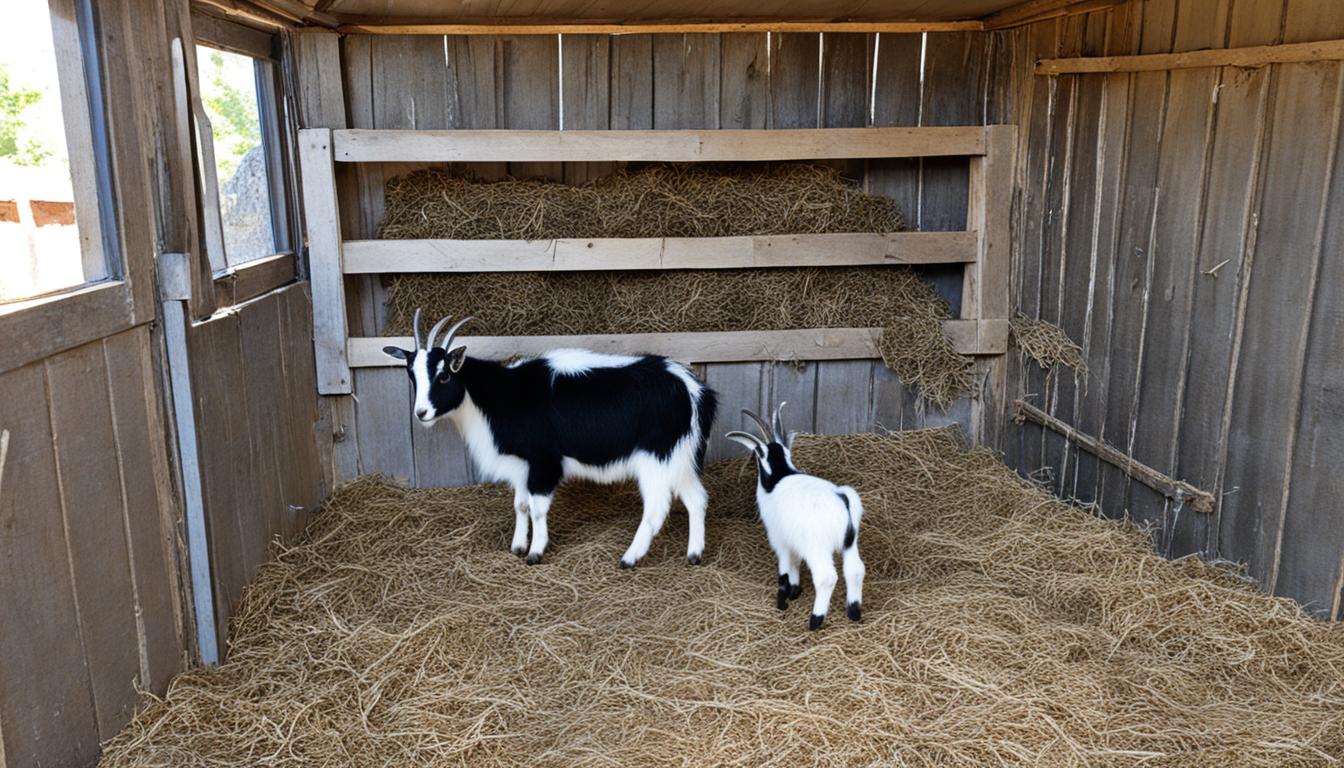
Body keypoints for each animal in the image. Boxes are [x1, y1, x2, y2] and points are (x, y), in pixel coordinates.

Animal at [384, 309, 720, 567]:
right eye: (411, 374)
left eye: (444, 375)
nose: (422, 413)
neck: (501, 395)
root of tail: (694, 389)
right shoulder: (523, 465)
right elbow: (520, 504)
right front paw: (518, 547)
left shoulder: (544, 461)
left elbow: (537, 507)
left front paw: (535, 553)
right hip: (680, 456)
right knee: (697, 499)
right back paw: (694, 555)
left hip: (656, 457)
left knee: (656, 508)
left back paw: (629, 558)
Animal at [731, 403, 865, 632]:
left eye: (758, 457)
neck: (780, 476)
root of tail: (841, 498)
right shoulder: (793, 542)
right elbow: (794, 564)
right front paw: (795, 592)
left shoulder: (780, 539)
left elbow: (784, 571)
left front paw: (783, 602)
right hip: (850, 543)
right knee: (855, 571)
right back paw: (854, 612)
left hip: (817, 546)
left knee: (826, 578)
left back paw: (815, 620)